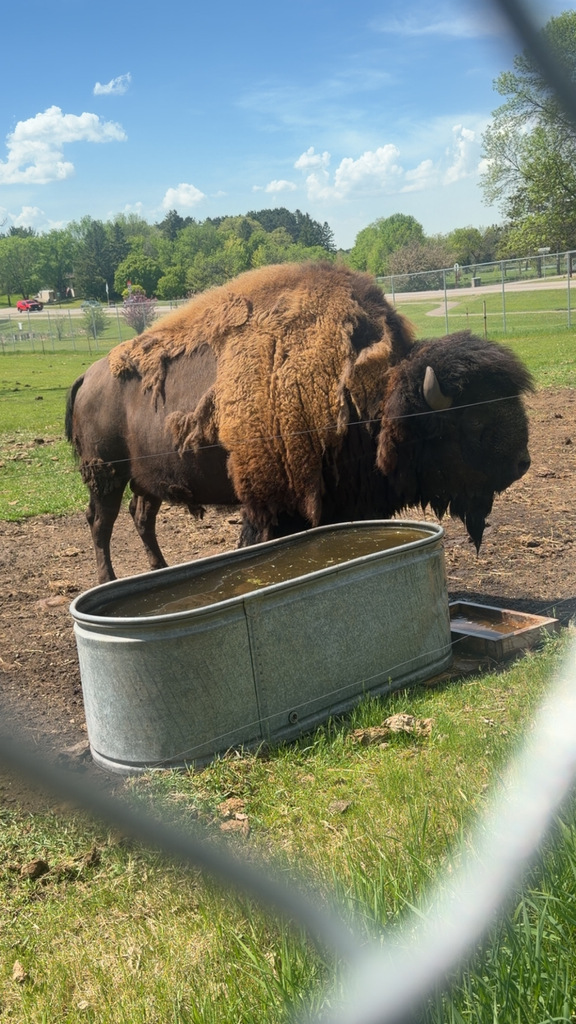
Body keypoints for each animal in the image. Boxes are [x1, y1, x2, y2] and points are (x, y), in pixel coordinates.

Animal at [65, 262, 533, 583]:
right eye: (473, 420)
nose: (522, 463)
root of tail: (88, 376)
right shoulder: (274, 502)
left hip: (146, 479)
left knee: (141, 517)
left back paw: (159, 568)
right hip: (106, 475)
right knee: (101, 523)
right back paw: (108, 578)